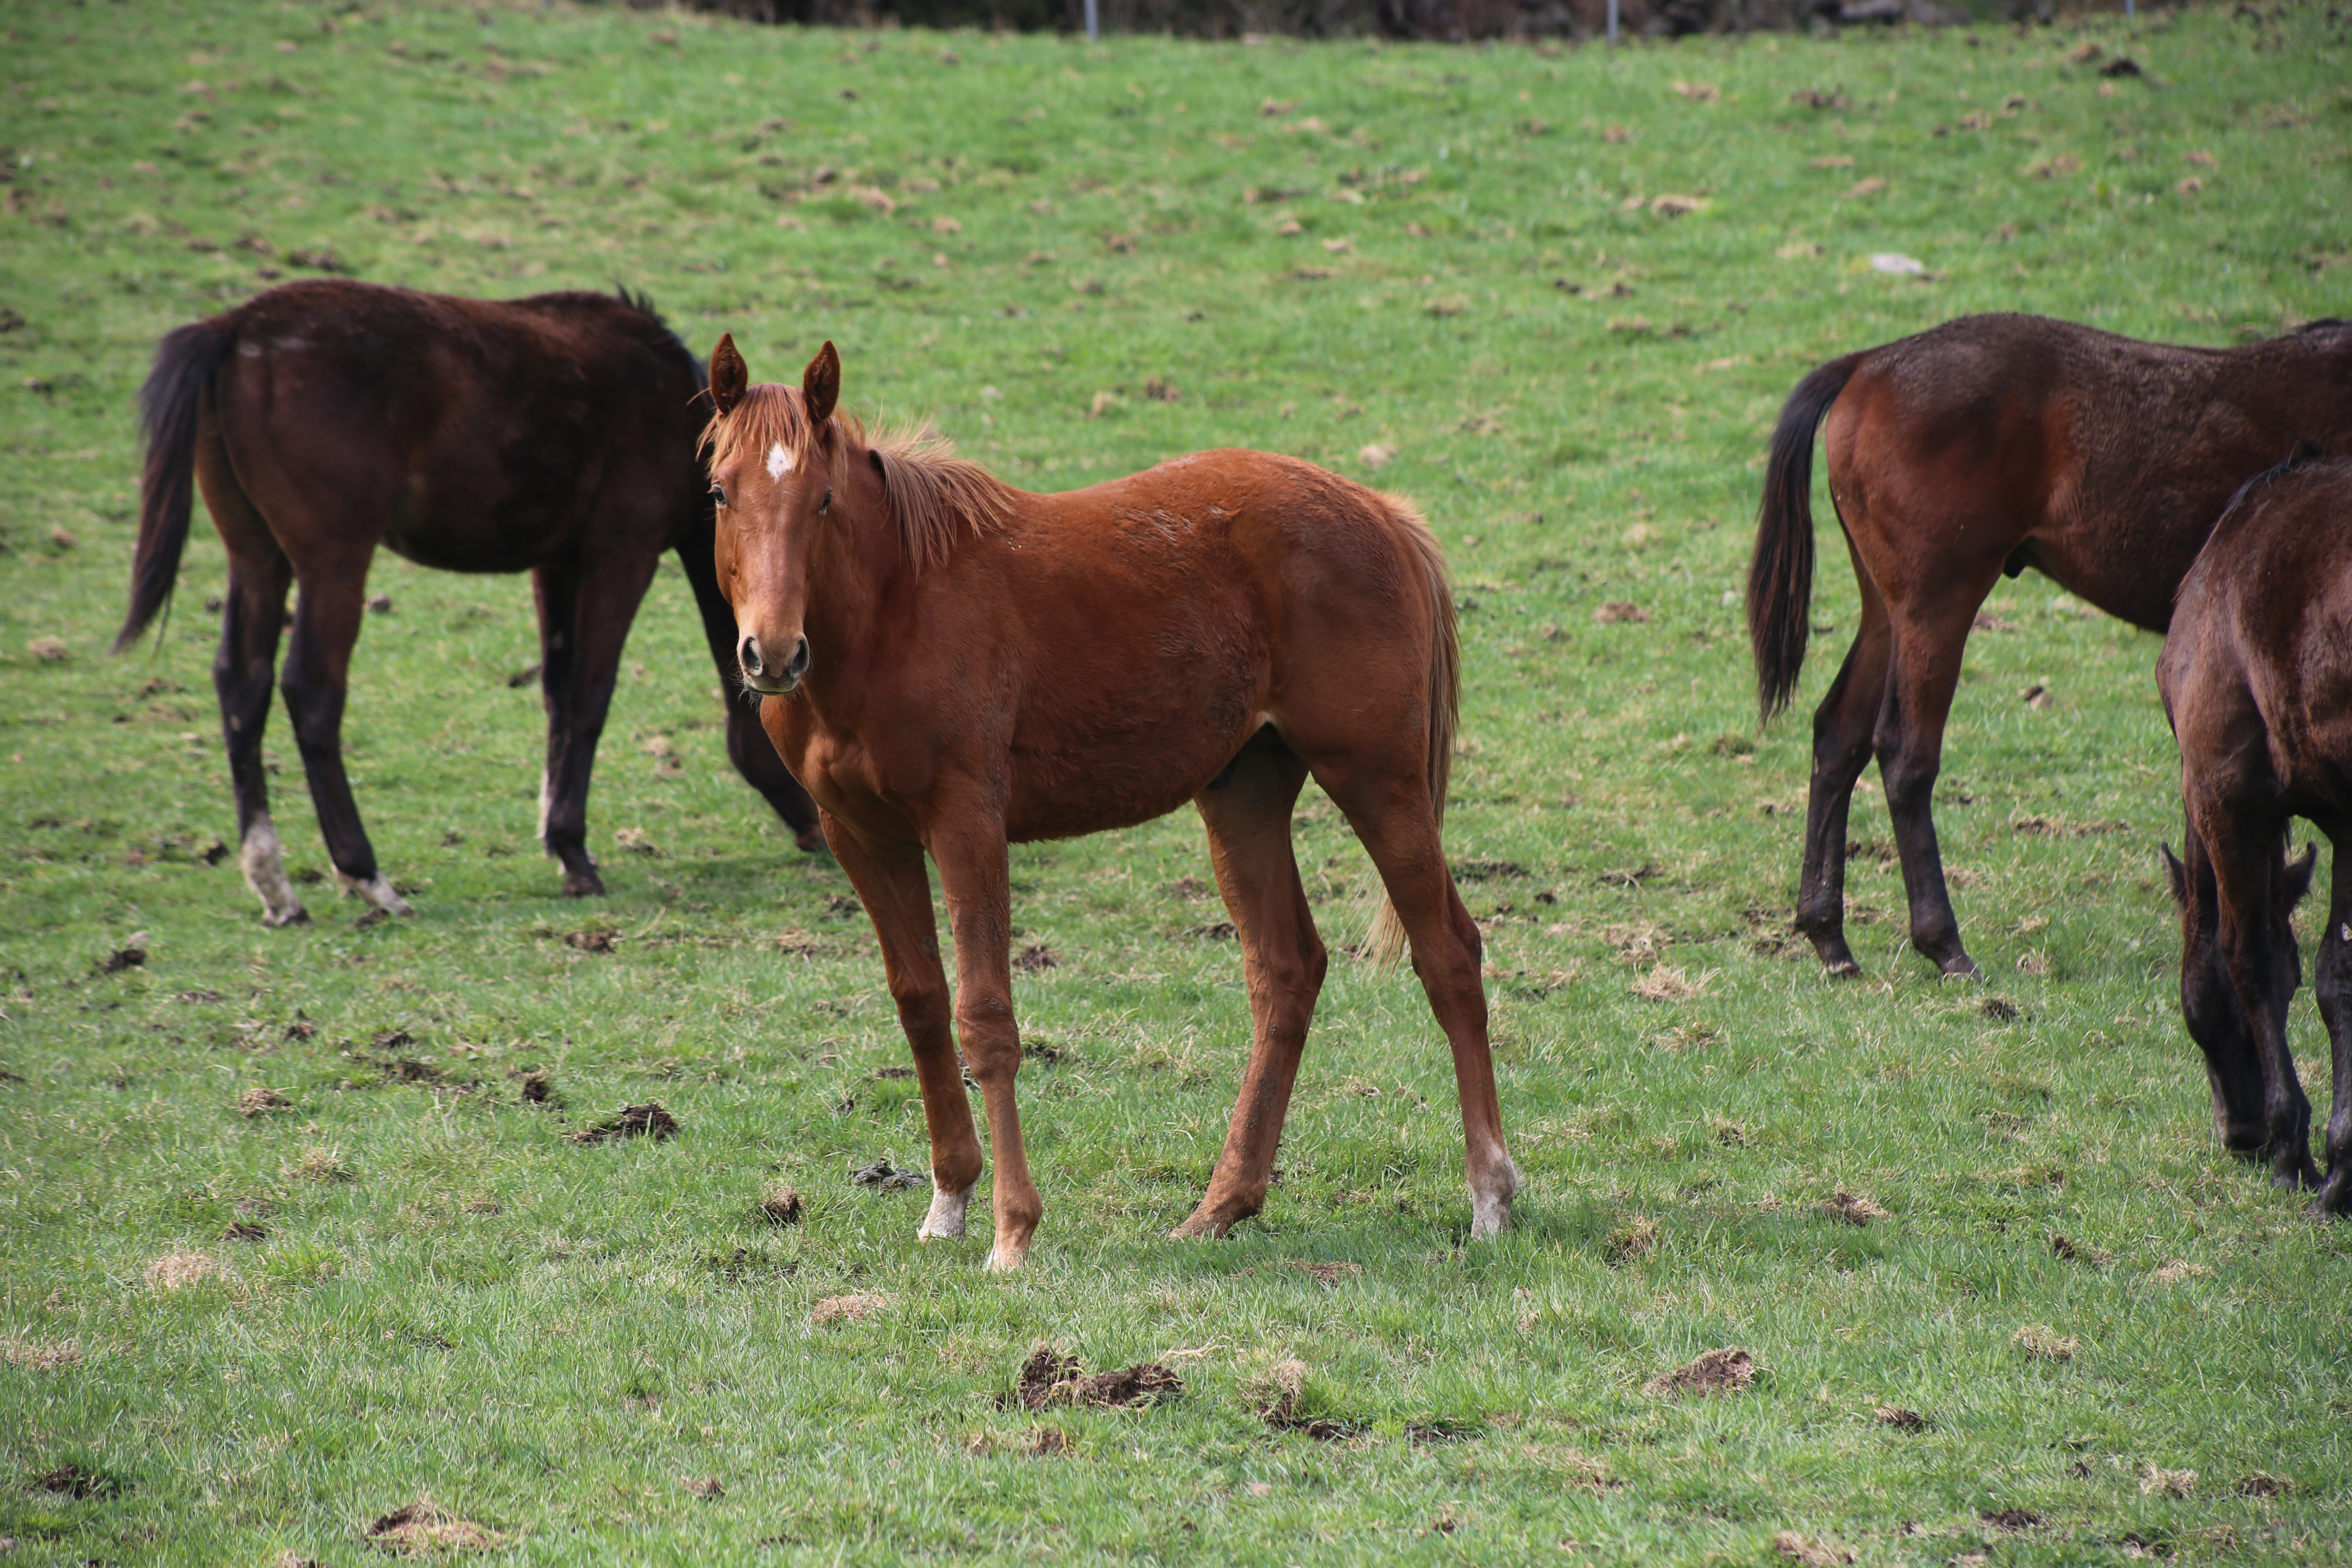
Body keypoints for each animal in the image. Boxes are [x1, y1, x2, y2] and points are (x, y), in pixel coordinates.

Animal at [114, 281, 823, 926]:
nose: (825, 830)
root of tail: (234, 330)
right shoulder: (622, 557)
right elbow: (590, 697)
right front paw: (575, 853)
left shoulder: (557, 564)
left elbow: (558, 694)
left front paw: (559, 842)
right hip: (332, 562)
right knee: (311, 691)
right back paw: (366, 876)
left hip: (257, 558)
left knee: (243, 685)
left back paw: (275, 885)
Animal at [696, 339, 1515, 1269]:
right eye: (720, 490)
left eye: (824, 499)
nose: (772, 654)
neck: (894, 610)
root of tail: (1379, 510)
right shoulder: (862, 837)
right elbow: (922, 1006)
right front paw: (949, 1201)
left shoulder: (966, 822)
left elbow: (987, 1018)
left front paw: (1012, 1232)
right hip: (1245, 792)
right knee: (1286, 970)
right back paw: (1219, 1207)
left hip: (1378, 780)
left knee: (1447, 954)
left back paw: (1490, 1197)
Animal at [1759, 315, 2352, 982]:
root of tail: (1869, 363)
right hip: (1935, 606)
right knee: (1905, 754)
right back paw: (1944, 944)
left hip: (1887, 612)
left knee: (1839, 735)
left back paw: (1829, 936)